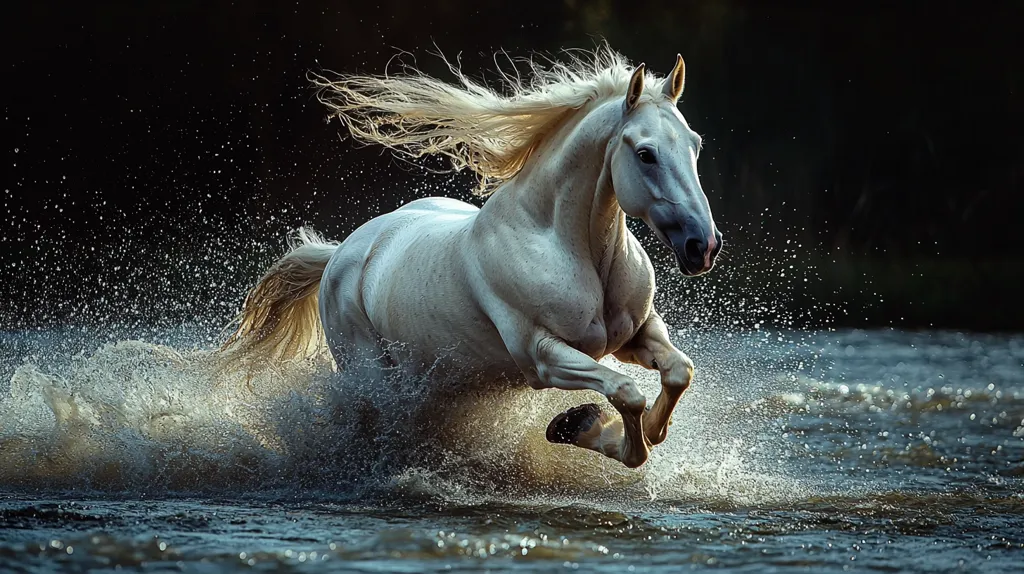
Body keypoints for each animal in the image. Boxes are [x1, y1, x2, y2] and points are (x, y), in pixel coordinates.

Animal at [220, 46, 722, 469]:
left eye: (696, 144)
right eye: (646, 154)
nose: (703, 245)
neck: (563, 242)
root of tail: (341, 252)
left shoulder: (635, 334)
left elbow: (679, 373)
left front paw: (631, 428)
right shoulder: (541, 355)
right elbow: (626, 394)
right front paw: (581, 424)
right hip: (372, 378)